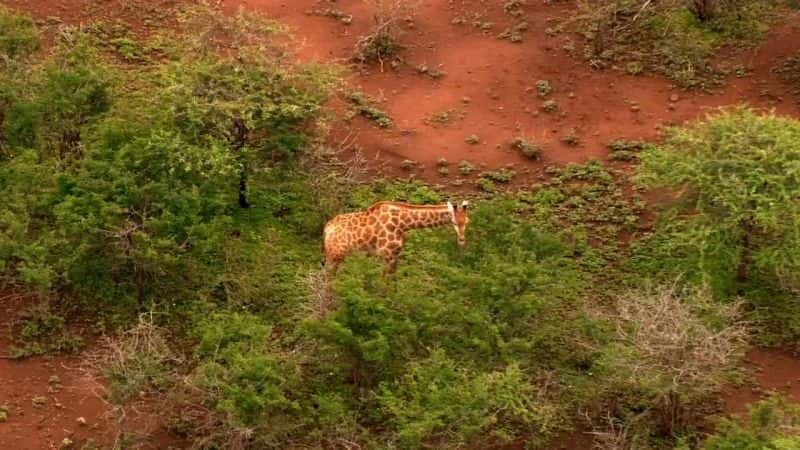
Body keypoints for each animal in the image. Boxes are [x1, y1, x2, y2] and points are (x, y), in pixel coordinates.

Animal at [324, 200, 468, 274]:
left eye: (467, 221)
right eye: (454, 222)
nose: (462, 240)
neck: (402, 224)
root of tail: (327, 229)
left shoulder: (395, 254)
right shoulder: (385, 254)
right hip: (335, 255)